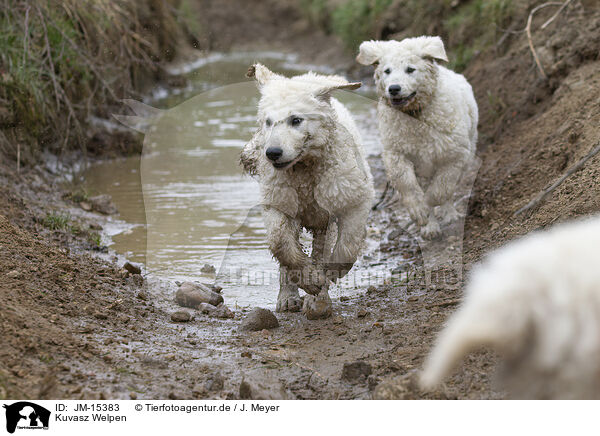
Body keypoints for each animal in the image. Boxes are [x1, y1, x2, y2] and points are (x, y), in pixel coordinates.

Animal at [240, 63, 372, 318]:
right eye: (268, 122)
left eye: (296, 120)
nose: (272, 153)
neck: (304, 169)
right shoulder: (277, 203)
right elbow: (280, 243)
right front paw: (308, 280)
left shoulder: (352, 198)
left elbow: (348, 245)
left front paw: (331, 273)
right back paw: (289, 297)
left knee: (322, 247)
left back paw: (319, 300)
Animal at [356, 36, 478, 238]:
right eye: (387, 71)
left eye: (410, 69)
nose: (394, 88)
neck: (414, 115)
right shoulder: (396, 153)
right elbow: (407, 183)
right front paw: (419, 211)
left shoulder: (455, 155)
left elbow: (441, 189)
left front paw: (431, 205)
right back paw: (431, 226)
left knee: (448, 189)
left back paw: (448, 213)